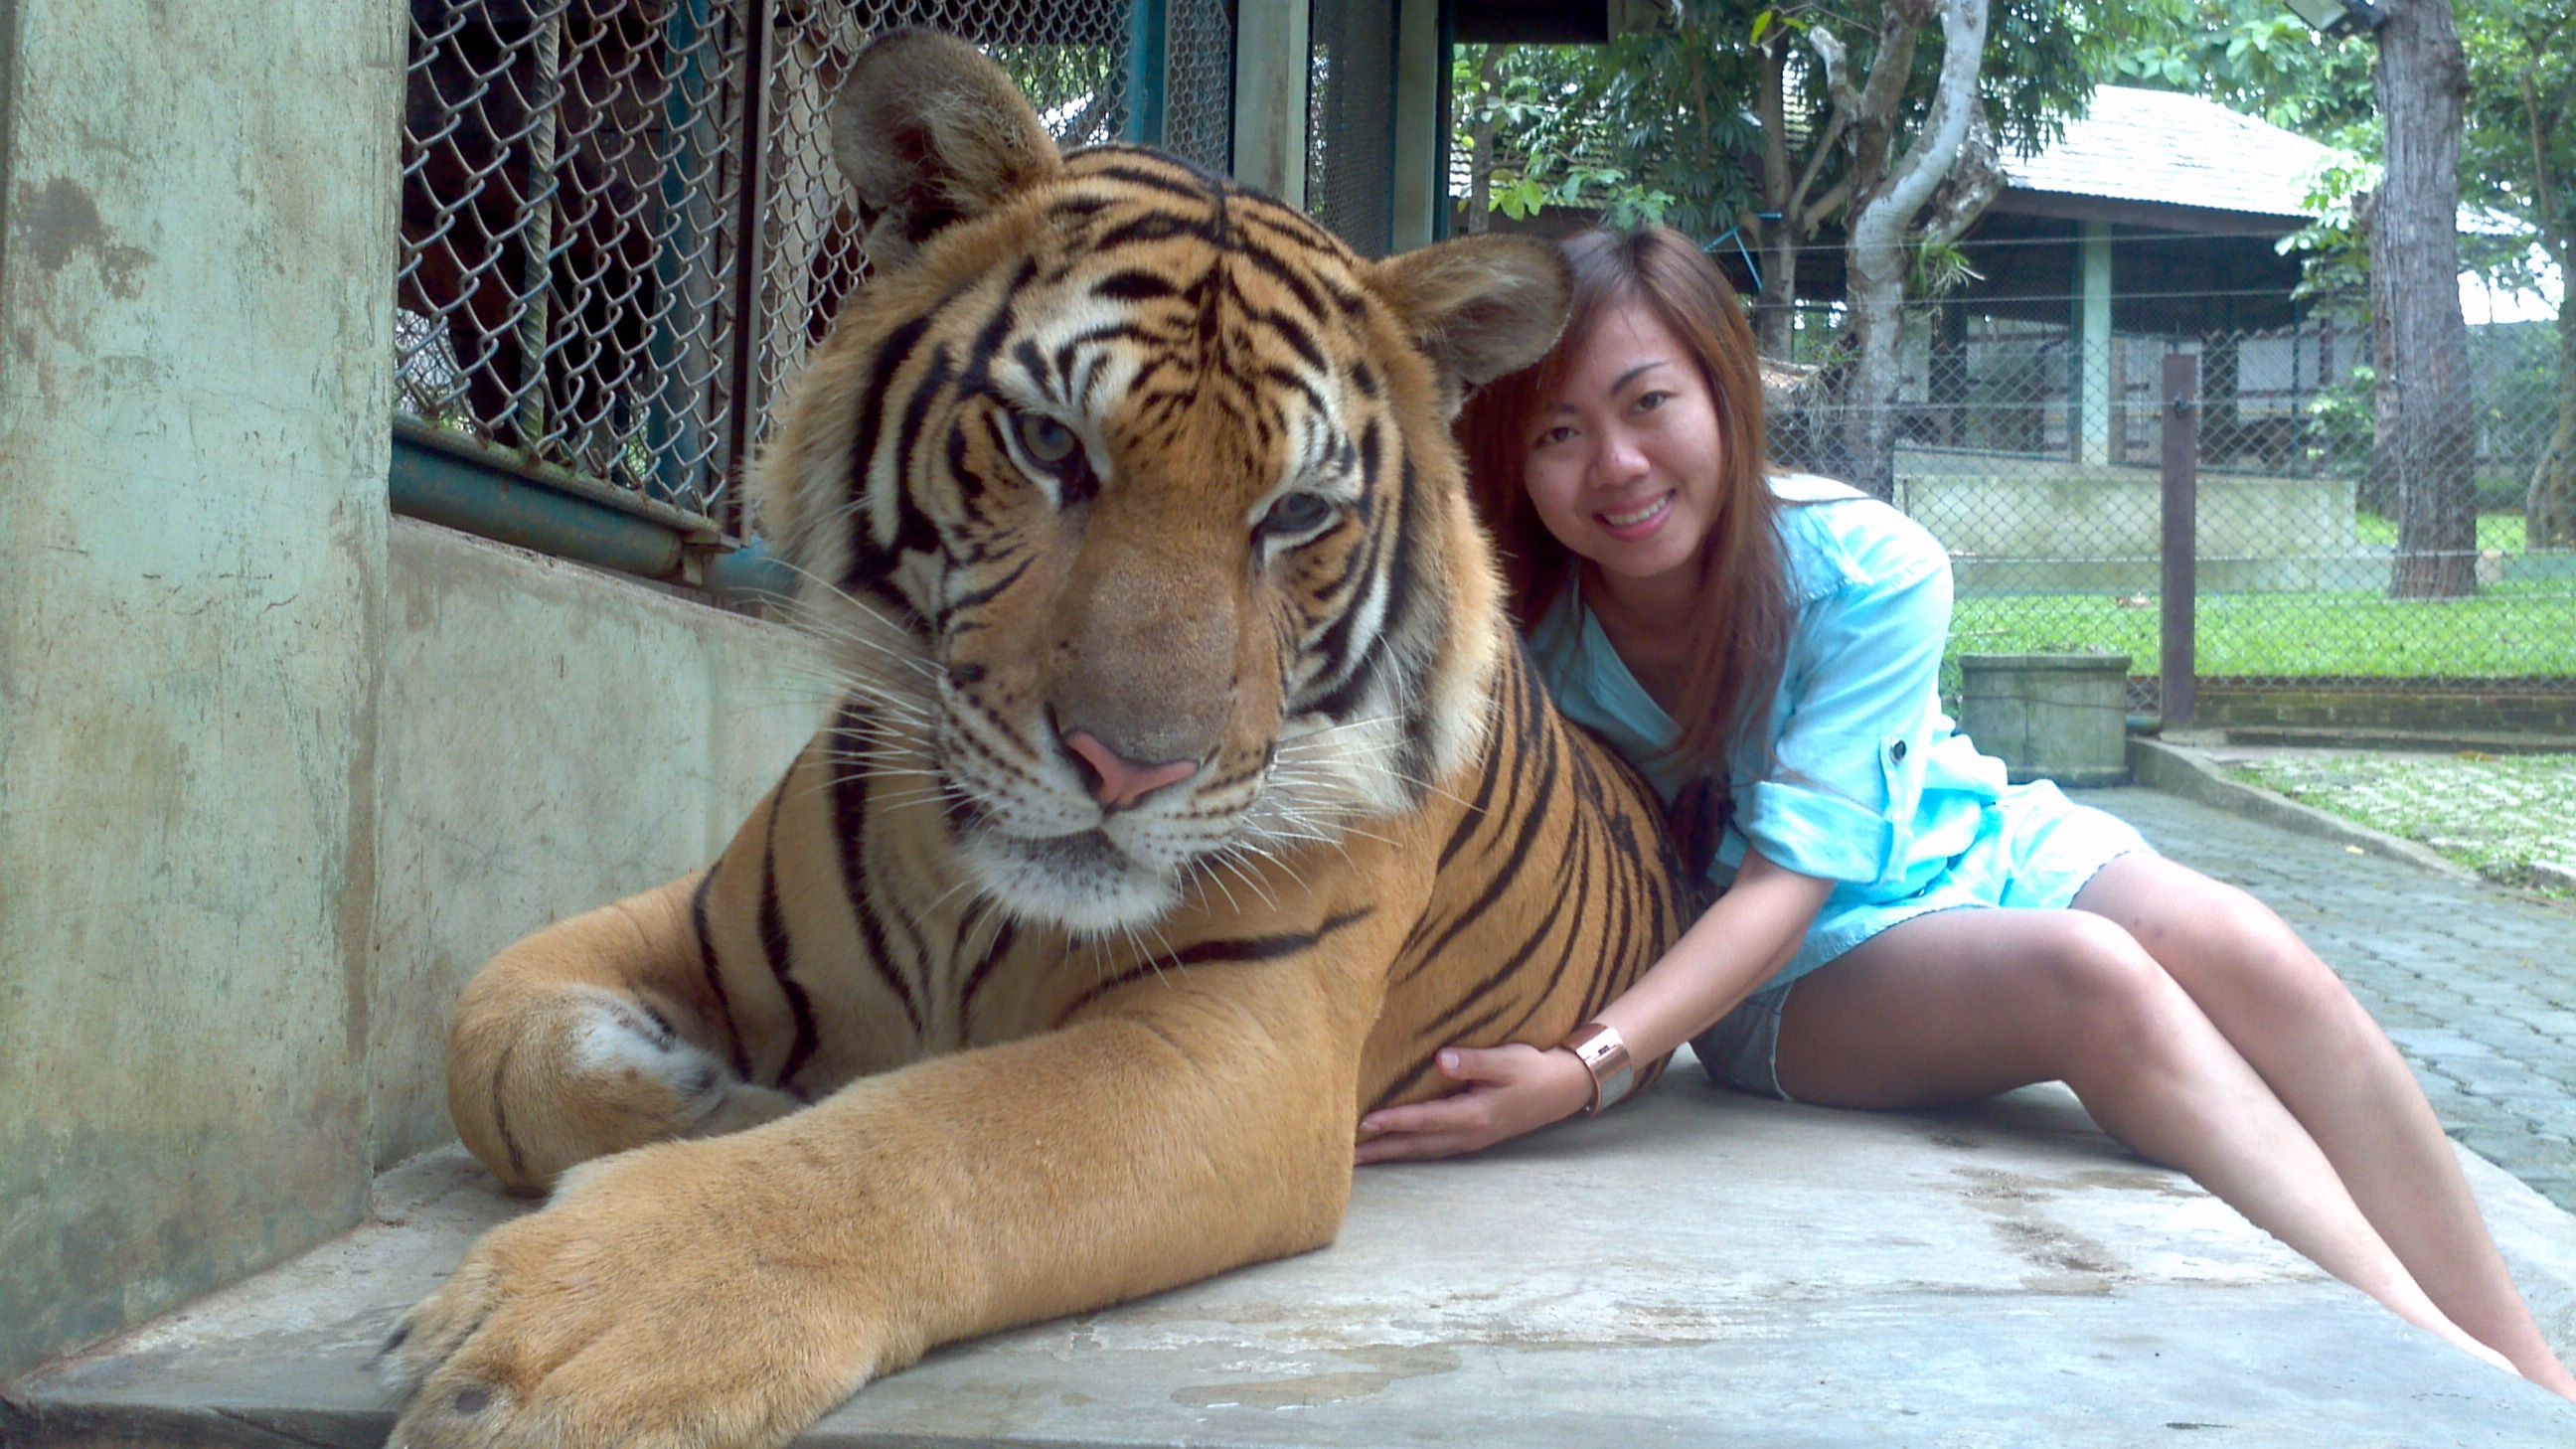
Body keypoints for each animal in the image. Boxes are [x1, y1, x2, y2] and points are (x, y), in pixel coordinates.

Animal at [386, 25, 1690, 1443]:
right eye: (1049, 442)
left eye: (1295, 513)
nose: (1132, 766)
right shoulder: (693, 916)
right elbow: (488, 1036)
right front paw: (710, 1096)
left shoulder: (1237, 1050)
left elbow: (943, 1138)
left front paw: (606, 1320)